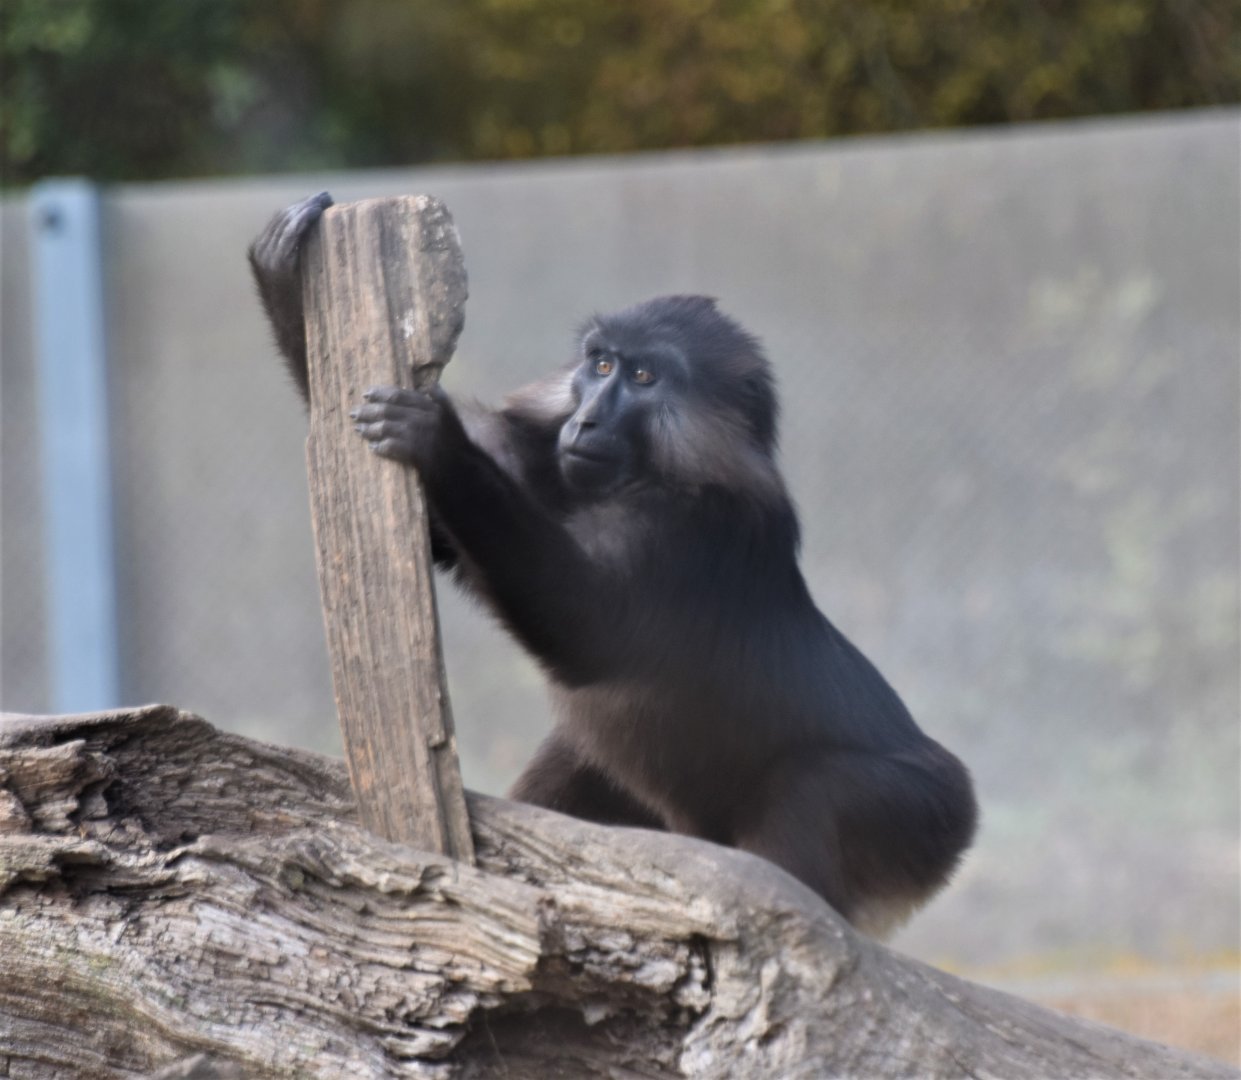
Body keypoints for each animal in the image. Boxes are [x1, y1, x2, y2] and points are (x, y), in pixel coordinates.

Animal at [249, 193, 978, 937]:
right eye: (600, 367)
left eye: (644, 378)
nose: (588, 421)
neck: (653, 472)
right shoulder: (548, 464)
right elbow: (441, 540)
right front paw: (283, 280)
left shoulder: (698, 529)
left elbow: (591, 632)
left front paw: (436, 438)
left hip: (916, 812)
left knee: (816, 794)